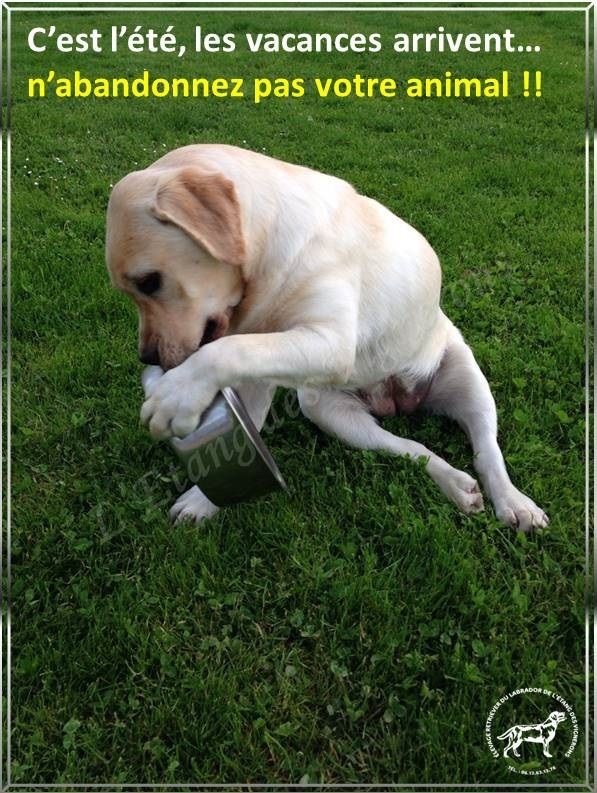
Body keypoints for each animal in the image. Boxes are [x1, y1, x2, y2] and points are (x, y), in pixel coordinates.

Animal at [105, 145, 548, 528]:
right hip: (327, 410)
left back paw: (513, 502)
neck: (268, 251)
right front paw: (204, 499)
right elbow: (243, 383)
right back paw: (454, 483)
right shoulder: (260, 366)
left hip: (469, 381)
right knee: (412, 450)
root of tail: (398, 401)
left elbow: (225, 352)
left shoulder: (330, 343)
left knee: (487, 449)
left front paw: (176, 394)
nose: (148, 358)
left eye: (149, 282)